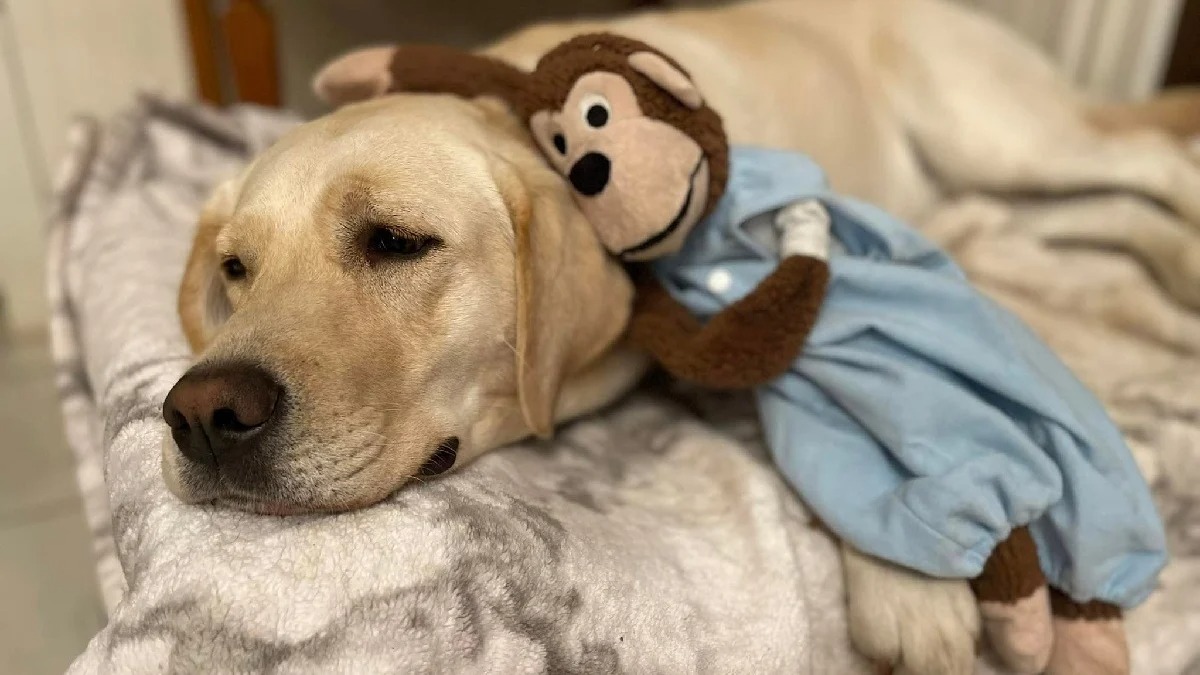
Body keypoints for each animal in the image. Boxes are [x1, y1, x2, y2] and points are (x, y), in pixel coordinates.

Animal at [162, 1, 1200, 672]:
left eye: (395, 241)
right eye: (236, 269)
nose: (201, 413)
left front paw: (905, 580)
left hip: (999, 136)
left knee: (1147, 159)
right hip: (985, 199)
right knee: (1093, 214)